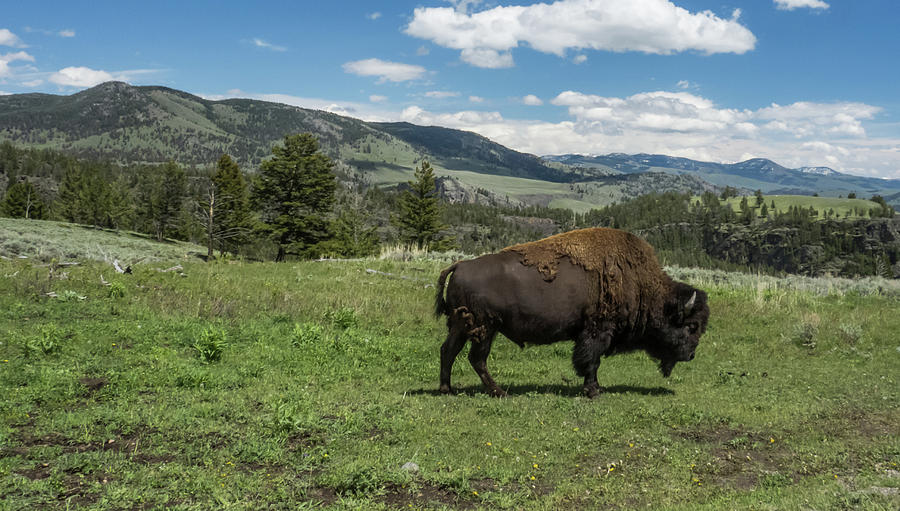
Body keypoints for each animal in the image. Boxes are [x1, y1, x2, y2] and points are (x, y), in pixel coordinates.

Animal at [434, 228, 712, 400]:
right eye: (691, 326)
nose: (691, 355)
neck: (640, 283)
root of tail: (460, 265)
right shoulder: (597, 331)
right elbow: (591, 361)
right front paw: (593, 391)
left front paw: (596, 388)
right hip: (484, 328)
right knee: (476, 358)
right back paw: (499, 392)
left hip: (462, 326)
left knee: (449, 351)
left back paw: (447, 389)